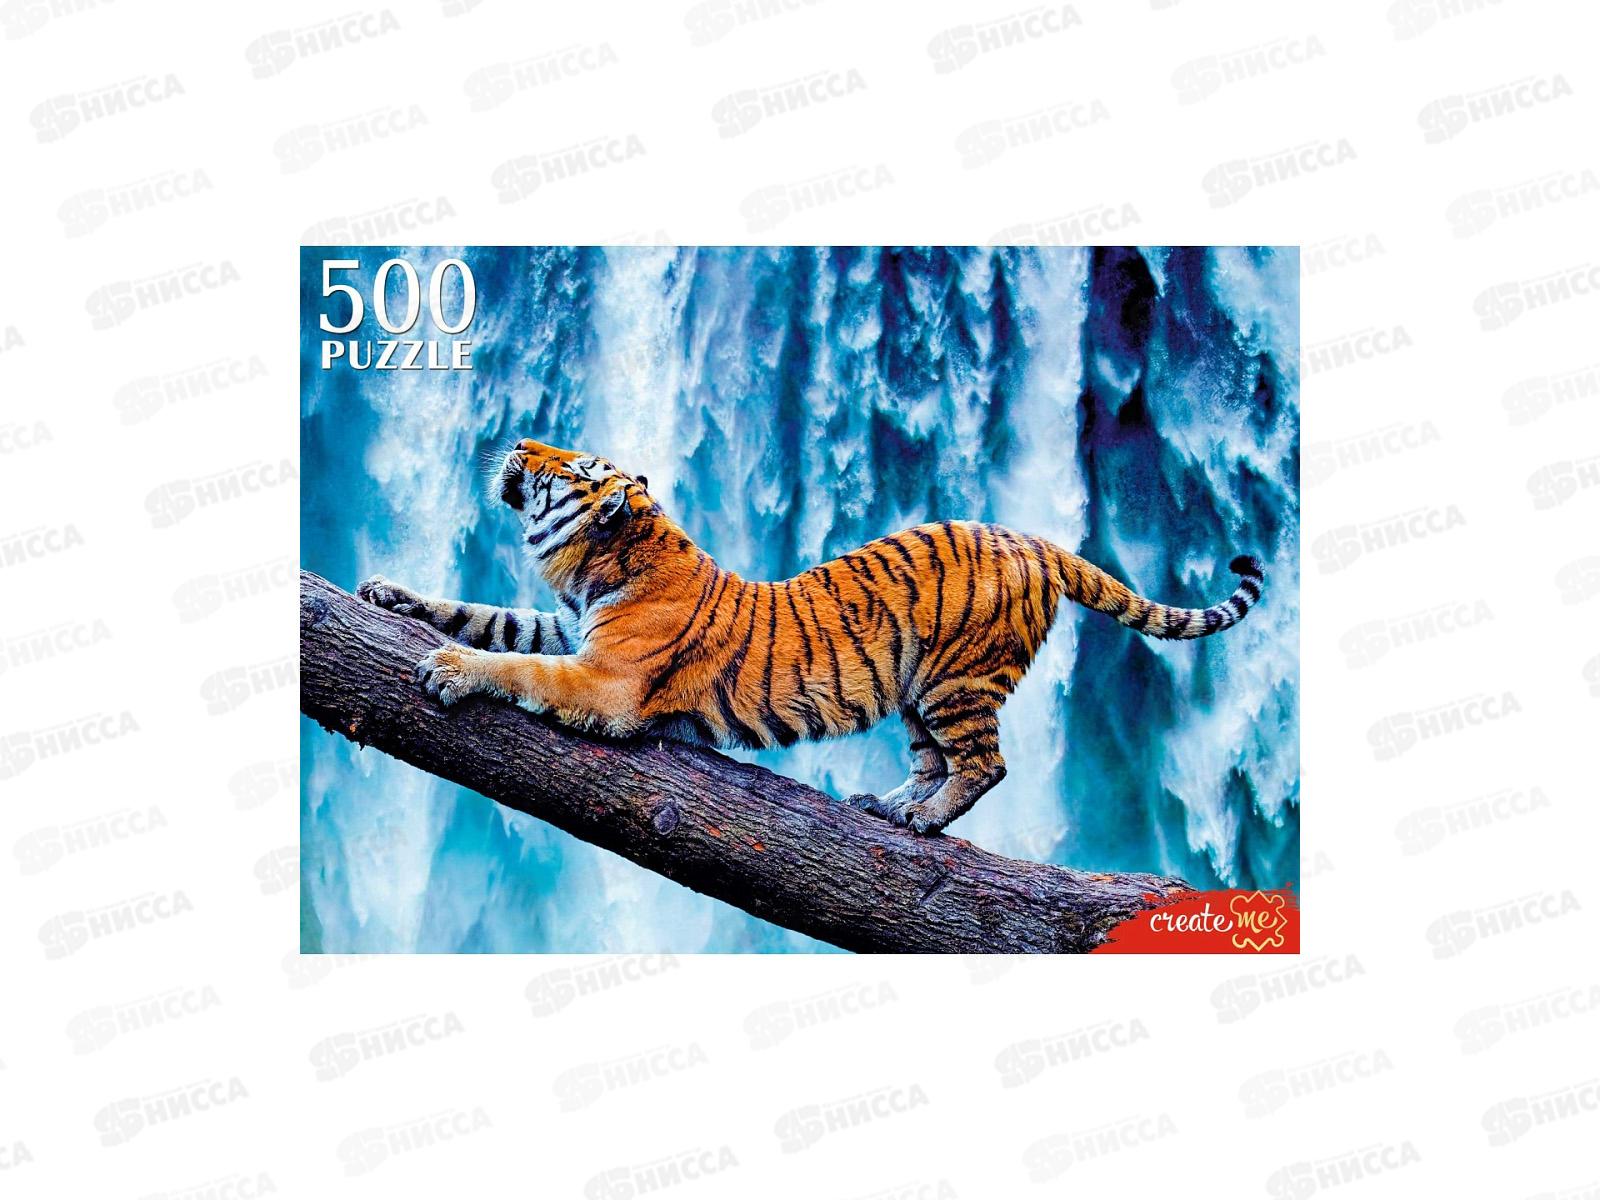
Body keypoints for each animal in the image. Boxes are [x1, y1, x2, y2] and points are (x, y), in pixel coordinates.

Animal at [357, 438, 1265, 835]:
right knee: (933, 760)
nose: (519, 440)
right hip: (916, 690)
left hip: (959, 680)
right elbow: (489, 614)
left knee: (986, 763)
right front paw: (389, 593)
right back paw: (889, 805)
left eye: (570, 468)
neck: (604, 563)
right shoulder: (571, 628)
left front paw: (449, 669)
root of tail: (1036, 540)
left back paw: (924, 822)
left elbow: (513, 662)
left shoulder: (607, 681)